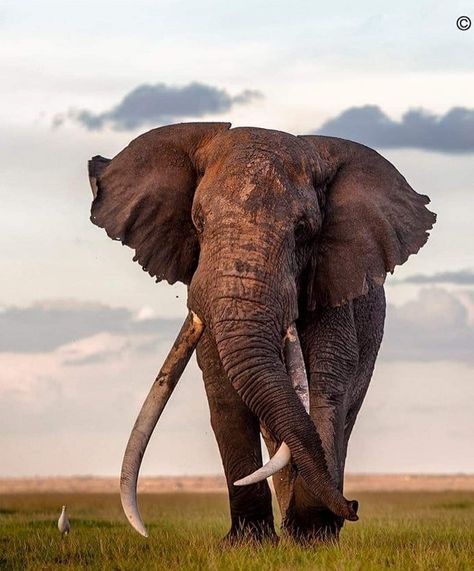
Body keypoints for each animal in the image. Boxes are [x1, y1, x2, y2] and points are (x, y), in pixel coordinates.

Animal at [87, 122, 436, 544]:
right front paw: (247, 543)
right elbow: (224, 391)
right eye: (198, 222)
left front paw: (313, 538)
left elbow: (325, 385)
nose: (354, 506)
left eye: (303, 232)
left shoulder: (333, 284)